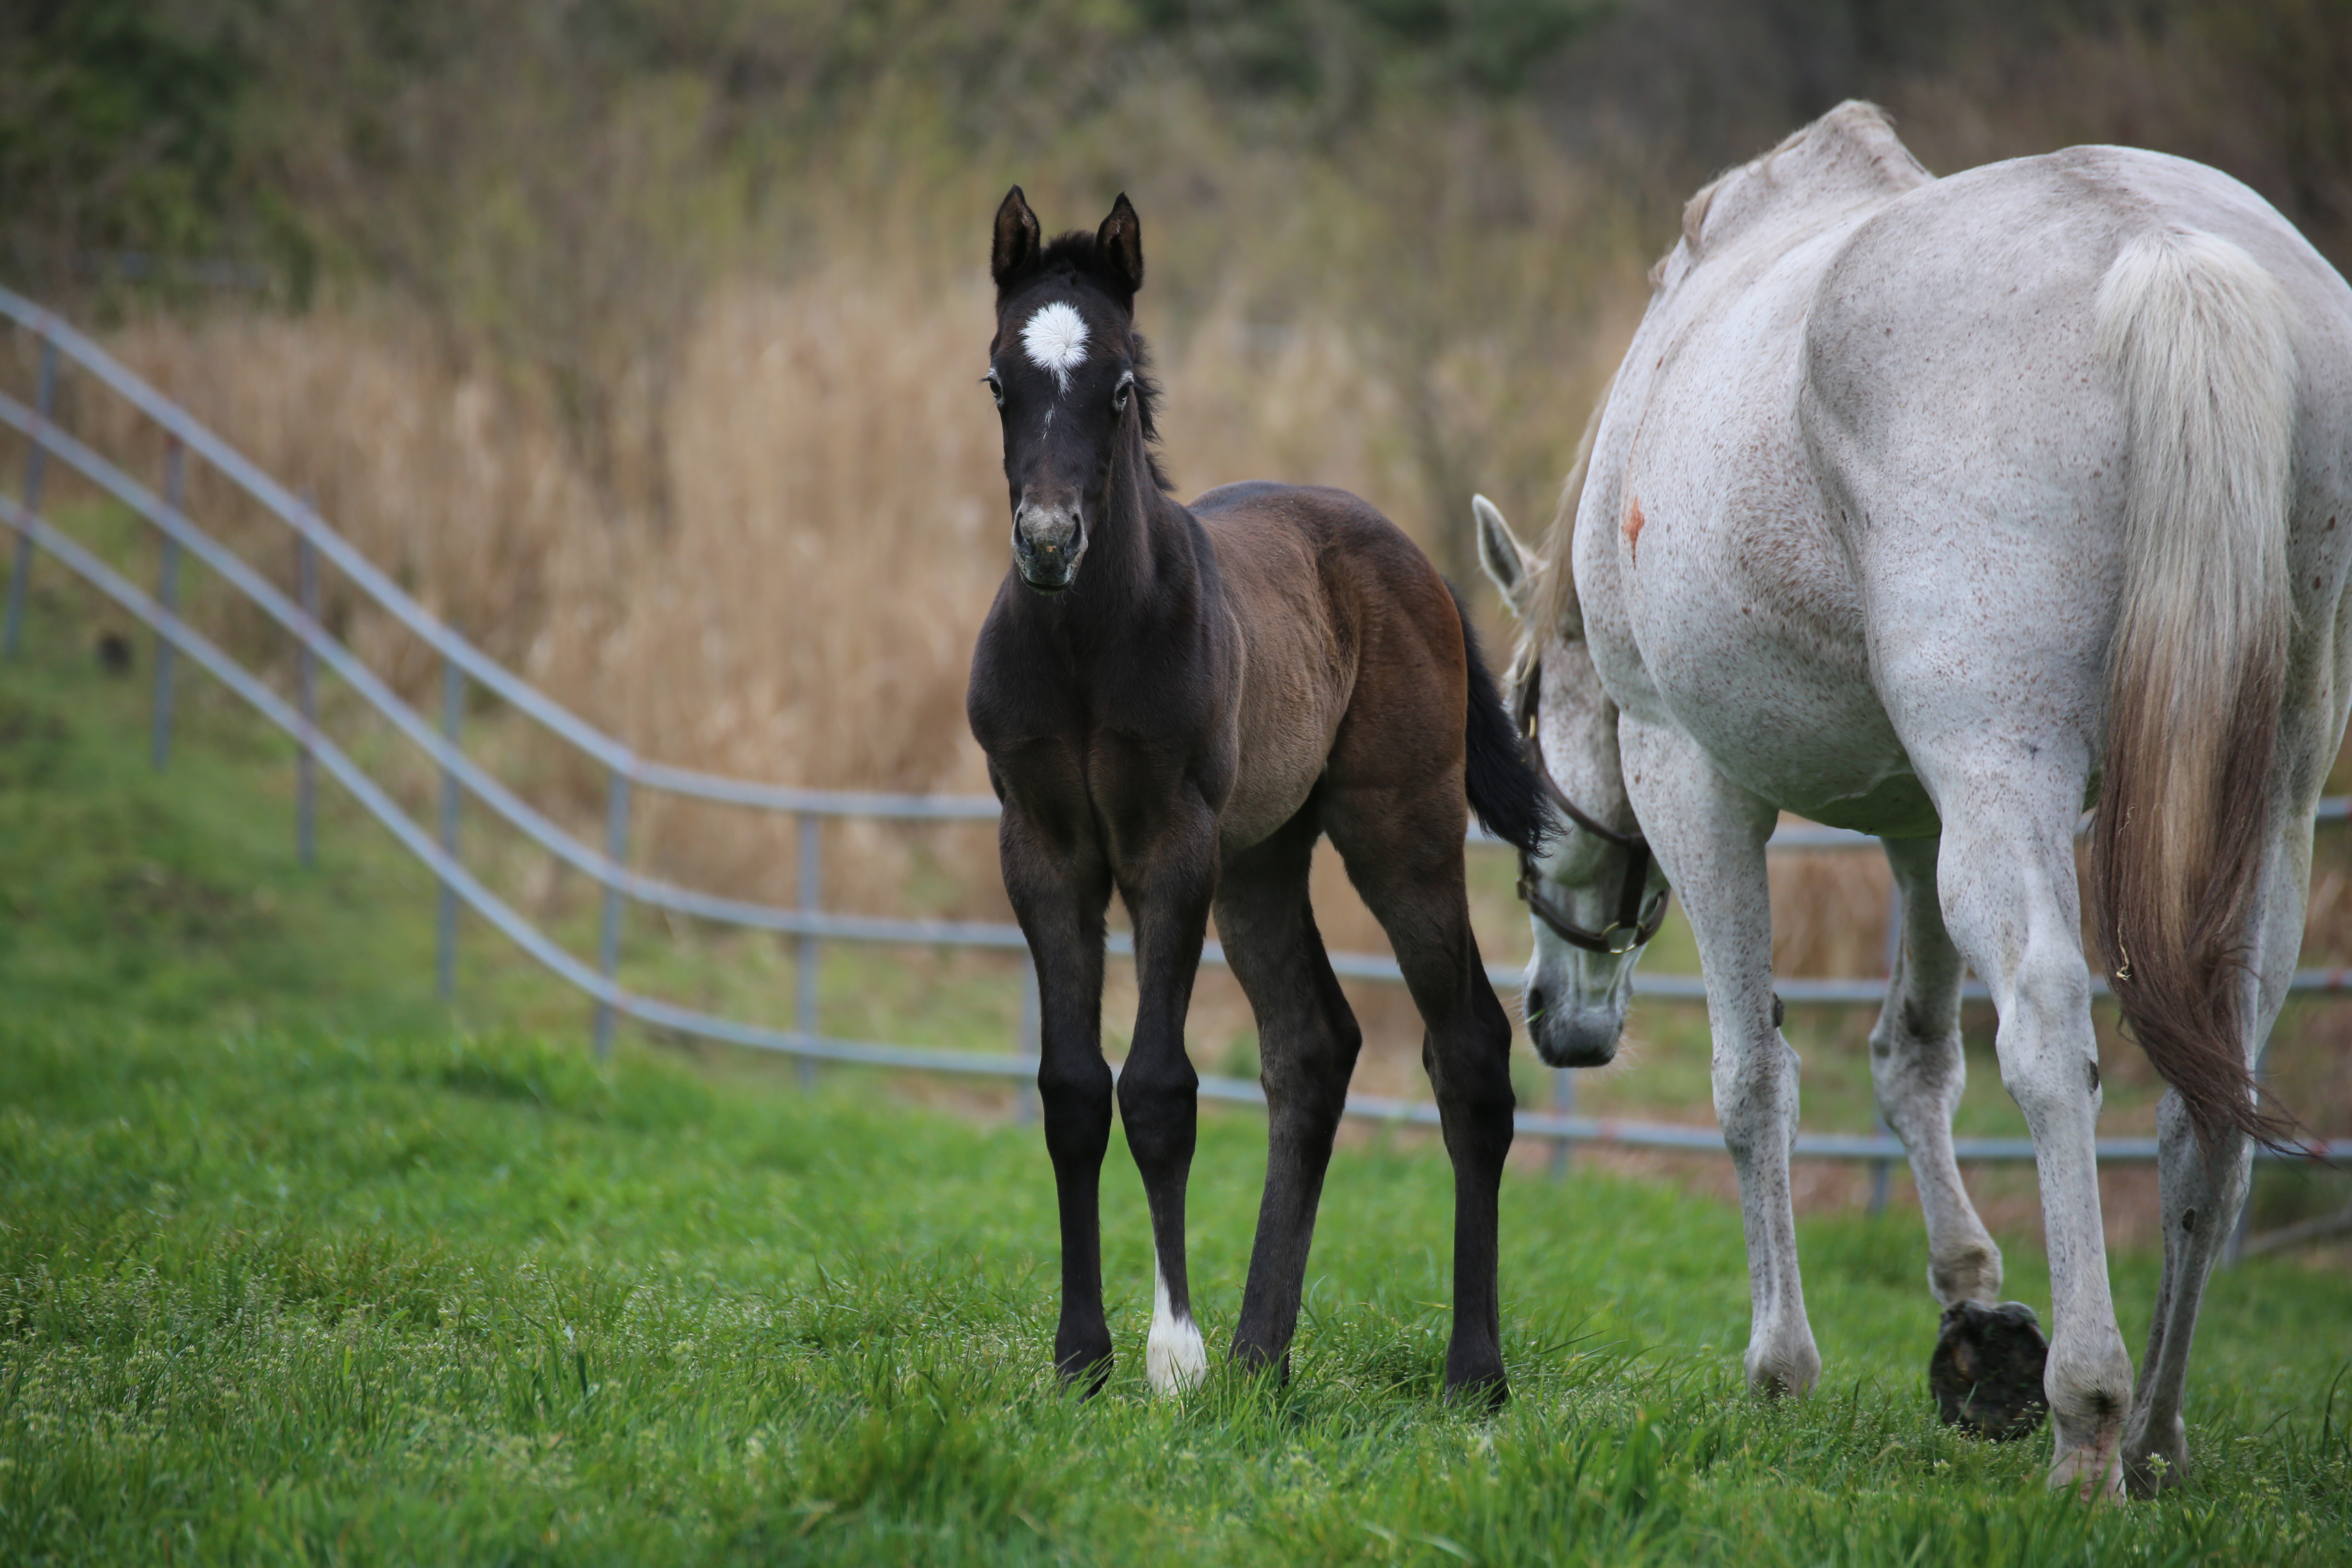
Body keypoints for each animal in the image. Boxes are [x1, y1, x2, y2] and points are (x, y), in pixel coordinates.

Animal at [955, 190, 1543, 1401]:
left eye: (1117, 386)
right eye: (997, 380)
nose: (1047, 543)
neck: (1085, 647)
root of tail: (1417, 562)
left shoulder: (1169, 849)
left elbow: (1159, 1089)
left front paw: (1169, 1353)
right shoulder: (1043, 851)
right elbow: (1071, 1089)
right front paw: (1081, 1358)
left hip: (1398, 831)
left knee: (1467, 1046)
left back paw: (1472, 1373)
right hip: (1264, 860)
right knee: (1311, 1051)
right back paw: (1260, 1359)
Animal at [1477, 98, 2352, 1495]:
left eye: (1517, 720)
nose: (1558, 1022)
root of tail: (2159, 249)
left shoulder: (1694, 777)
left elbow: (1754, 1078)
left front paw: (1781, 1367)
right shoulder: (1917, 819)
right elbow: (1912, 1064)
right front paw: (1973, 1317)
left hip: (2006, 771)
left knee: (2048, 1032)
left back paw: (2090, 1418)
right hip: (2265, 791)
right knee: (2211, 1081)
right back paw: (2156, 1433)